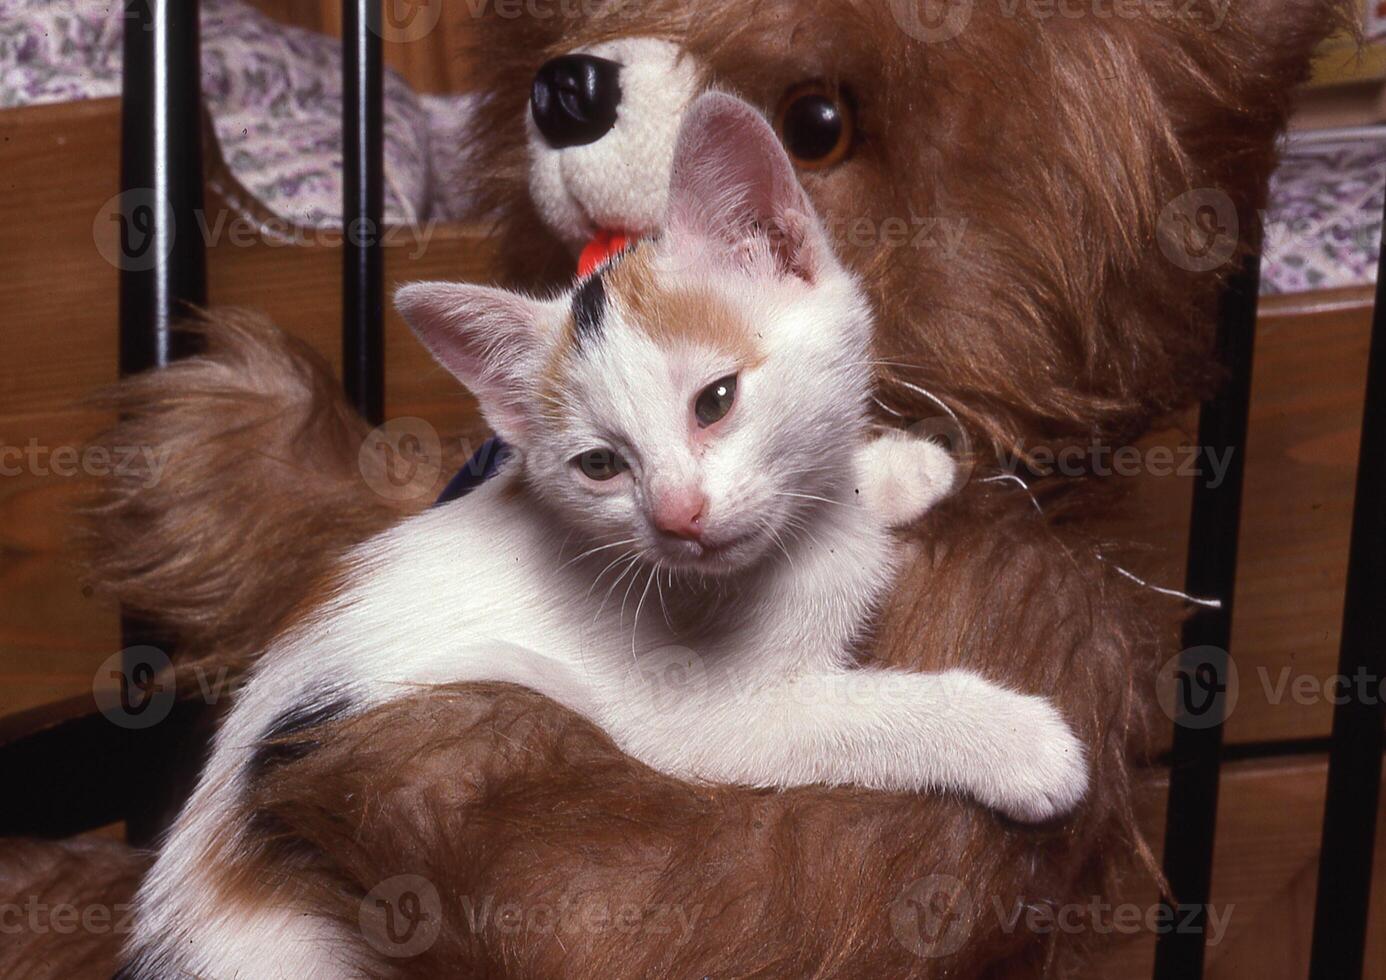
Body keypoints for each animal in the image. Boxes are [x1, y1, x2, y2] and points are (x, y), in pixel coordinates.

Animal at [119, 94, 1086, 980]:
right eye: (600, 466)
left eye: (716, 400)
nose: (678, 516)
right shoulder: (705, 723)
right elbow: (855, 717)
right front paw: (1018, 742)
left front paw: (895, 470)